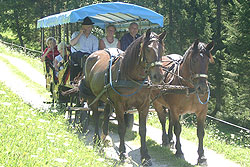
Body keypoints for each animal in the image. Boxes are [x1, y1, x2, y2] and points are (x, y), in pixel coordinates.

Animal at [82, 29, 166, 166]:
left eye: (162, 50)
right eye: (148, 49)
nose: (158, 76)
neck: (131, 77)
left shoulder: (144, 106)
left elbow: (143, 130)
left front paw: (145, 157)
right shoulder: (119, 106)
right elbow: (121, 128)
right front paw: (122, 153)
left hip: (107, 99)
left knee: (106, 114)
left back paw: (105, 137)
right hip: (93, 97)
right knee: (95, 115)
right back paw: (97, 140)